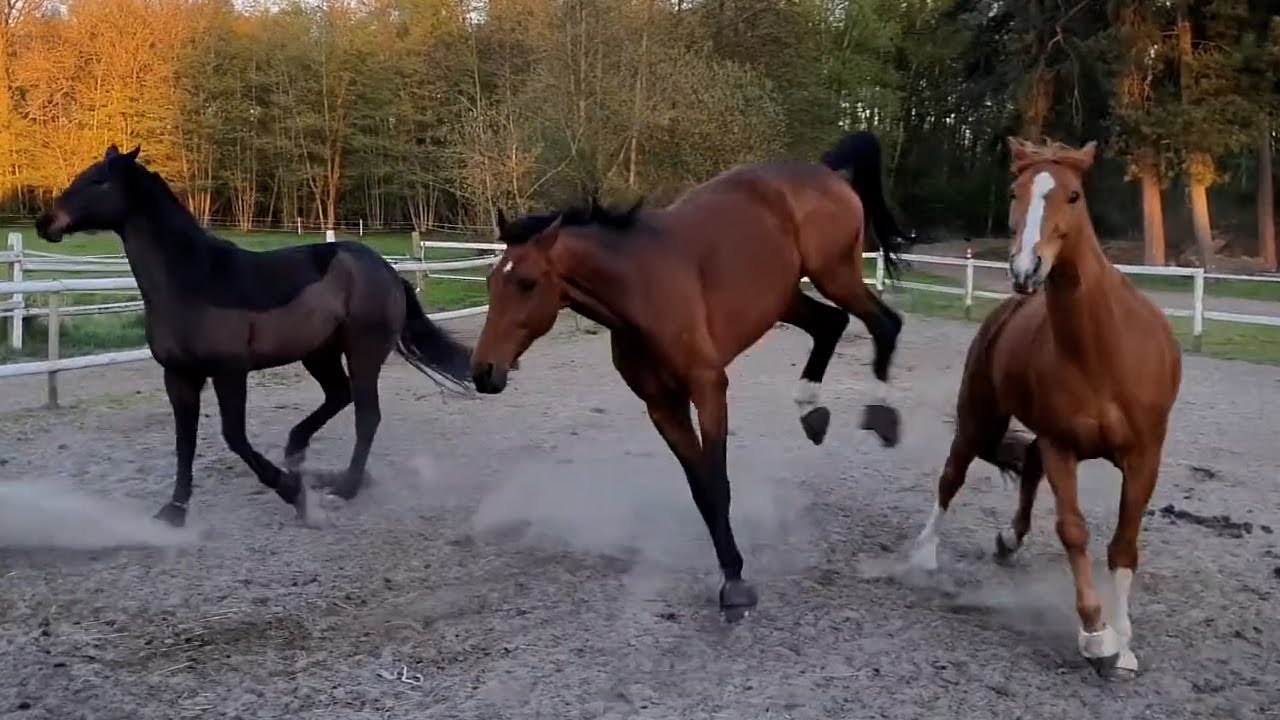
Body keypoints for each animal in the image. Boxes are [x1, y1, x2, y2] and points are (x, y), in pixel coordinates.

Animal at [34, 145, 475, 529]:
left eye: (98, 181)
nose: (45, 222)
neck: (194, 281)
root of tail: (388, 272)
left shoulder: (230, 371)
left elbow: (234, 437)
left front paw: (292, 493)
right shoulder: (178, 375)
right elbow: (184, 442)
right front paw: (175, 510)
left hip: (362, 350)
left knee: (366, 414)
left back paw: (343, 487)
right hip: (318, 353)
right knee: (339, 395)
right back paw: (299, 452)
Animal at [469, 130, 912, 620]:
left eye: (527, 283)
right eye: (490, 283)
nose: (484, 371)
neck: (640, 289)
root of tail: (825, 172)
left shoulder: (708, 387)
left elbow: (717, 484)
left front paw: (736, 585)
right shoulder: (662, 405)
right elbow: (700, 488)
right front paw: (730, 570)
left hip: (834, 273)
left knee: (884, 324)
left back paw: (881, 416)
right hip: (785, 297)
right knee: (831, 324)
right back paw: (811, 411)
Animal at [905, 137, 1182, 680]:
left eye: (1073, 195)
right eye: (1016, 192)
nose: (1025, 269)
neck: (1104, 351)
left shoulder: (1144, 456)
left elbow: (1123, 544)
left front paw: (1124, 644)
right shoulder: (1062, 447)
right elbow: (1073, 531)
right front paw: (1096, 636)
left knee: (1025, 466)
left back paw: (1009, 542)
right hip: (978, 417)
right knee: (953, 476)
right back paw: (925, 554)